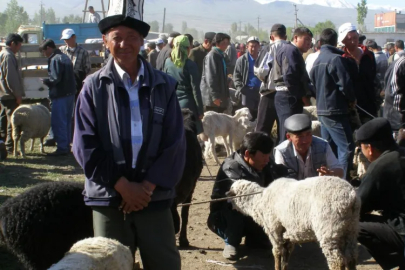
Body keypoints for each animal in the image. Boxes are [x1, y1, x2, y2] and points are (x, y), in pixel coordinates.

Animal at [227, 177, 360, 270]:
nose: (226, 199)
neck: (259, 202)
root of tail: (352, 198)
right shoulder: (288, 234)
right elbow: (286, 256)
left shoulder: (274, 229)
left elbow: (277, 252)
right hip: (350, 230)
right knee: (351, 258)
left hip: (329, 230)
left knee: (337, 261)